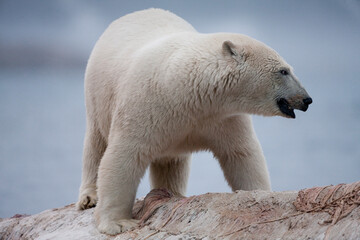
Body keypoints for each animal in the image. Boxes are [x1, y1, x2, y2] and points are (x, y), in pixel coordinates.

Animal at [76, 8, 312, 233]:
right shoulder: (145, 105)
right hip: (97, 95)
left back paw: (172, 192)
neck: (188, 91)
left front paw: (260, 193)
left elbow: (242, 154)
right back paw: (89, 198)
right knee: (96, 144)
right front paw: (119, 223)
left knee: (171, 162)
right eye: (283, 71)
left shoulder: (222, 118)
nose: (306, 99)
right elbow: (123, 157)